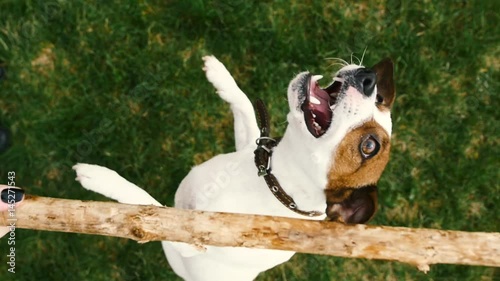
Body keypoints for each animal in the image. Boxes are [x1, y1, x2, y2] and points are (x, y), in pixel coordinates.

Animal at [73, 54, 394, 280]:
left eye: (369, 146)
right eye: (379, 98)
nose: (368, 78)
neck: (273, 181)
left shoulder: (190, 242)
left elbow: (147, 209)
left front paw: (99, 177)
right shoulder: (250, 144)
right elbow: (244, 105)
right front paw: (219, 75)